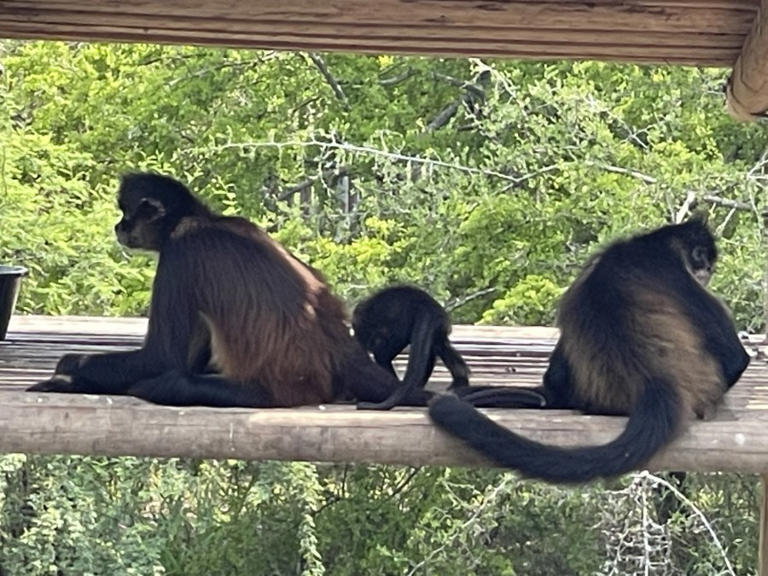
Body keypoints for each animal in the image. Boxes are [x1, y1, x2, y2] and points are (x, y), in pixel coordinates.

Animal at [27, 173, 432, 408]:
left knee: (171, 381)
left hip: (271, 392)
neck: (202, 218)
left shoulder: (181, 253)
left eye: (126, 213)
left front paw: (70, 367)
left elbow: (162, 360)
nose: (118, 227)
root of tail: (338, 350)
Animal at [354, 284, 544, 410]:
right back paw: (458, 379)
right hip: (440, 324)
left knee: (384, 354)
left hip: (400, 324)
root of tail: (425, 305)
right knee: (440, 346)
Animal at [432, 218, 752, 484]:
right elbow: (735, 358)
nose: (707, 271)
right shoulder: (671, 268)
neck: (650, 243)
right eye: (703, 258)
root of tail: (653, 381)